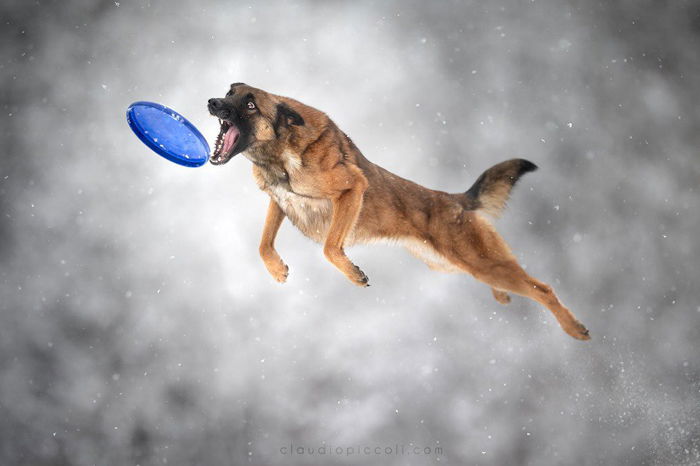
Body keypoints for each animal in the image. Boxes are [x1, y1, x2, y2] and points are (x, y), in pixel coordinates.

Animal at [206, 82, 592, 340]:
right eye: (229, 91)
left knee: (542, 288)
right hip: (452, 265)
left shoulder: (352, 188)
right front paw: (277, 270)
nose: (212, 101)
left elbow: (330, 247)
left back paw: (573, 327)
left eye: (250, 104)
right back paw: (503, 295)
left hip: (481, 262)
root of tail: (455, 199)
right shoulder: (278, 201)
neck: (278, 153)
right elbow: (263, 243)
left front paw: (353, 273)